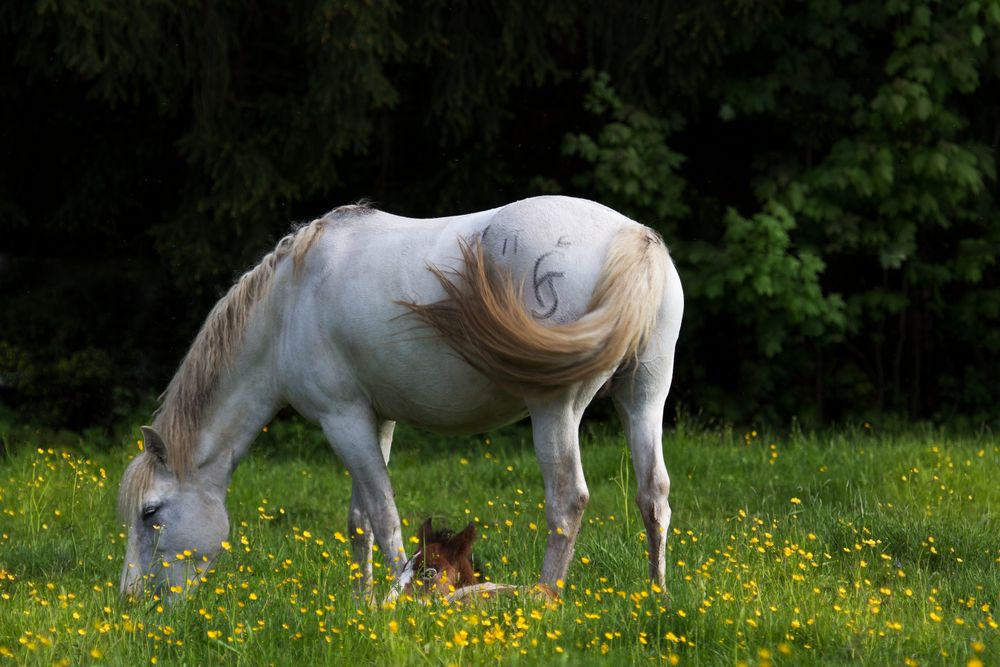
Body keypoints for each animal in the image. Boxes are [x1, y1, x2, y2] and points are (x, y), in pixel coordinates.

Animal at [115, 196, 680, 604]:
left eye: (150, 512)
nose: (131, 602)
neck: (289, 301)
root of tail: (635, 238)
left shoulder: (342, 419)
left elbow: (384, 519)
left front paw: (396, 604)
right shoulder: (374, 420)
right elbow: (359, 521)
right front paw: (361, 602)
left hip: (554, 410)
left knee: (566, 501)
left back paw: (545, 598)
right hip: (644, 397)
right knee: (653, 493)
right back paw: (656, 595)